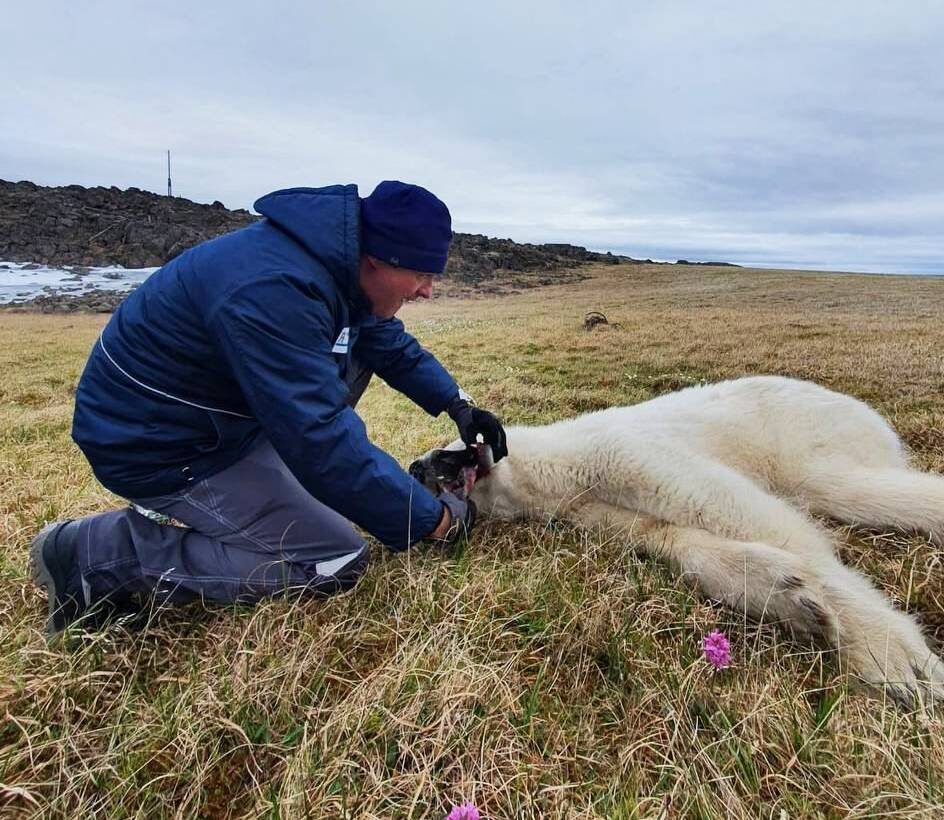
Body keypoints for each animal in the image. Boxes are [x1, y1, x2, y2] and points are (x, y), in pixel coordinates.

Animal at [412, 376, 944, 704]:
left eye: (446, 449)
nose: (417, 467)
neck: (552, 468)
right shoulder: (593, 509)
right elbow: (672, 539)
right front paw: (794, 599)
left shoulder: (617, 454)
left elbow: (732, 509)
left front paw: (893, 657)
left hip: (806, 433)